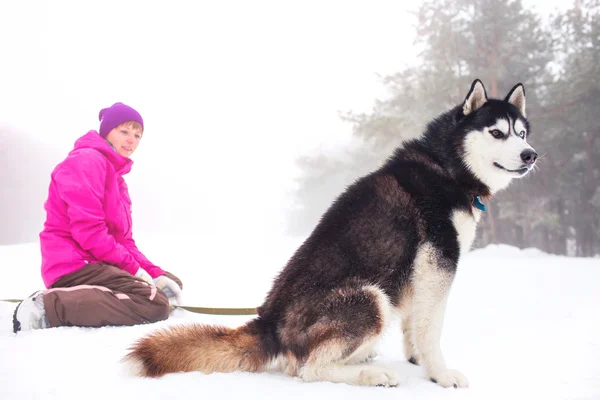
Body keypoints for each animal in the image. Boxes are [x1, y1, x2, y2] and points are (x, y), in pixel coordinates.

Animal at [123, 79, 540, 390]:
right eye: (497, 132)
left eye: (521, 132)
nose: (530, 155)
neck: (447, 166)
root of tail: (269, 322)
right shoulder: (439, 260)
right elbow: (430, 328)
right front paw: (439, 373)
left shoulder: (422, 270)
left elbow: (414, 324)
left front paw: (415, 358)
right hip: (371, 297)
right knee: (309, 368)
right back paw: (372, 374)